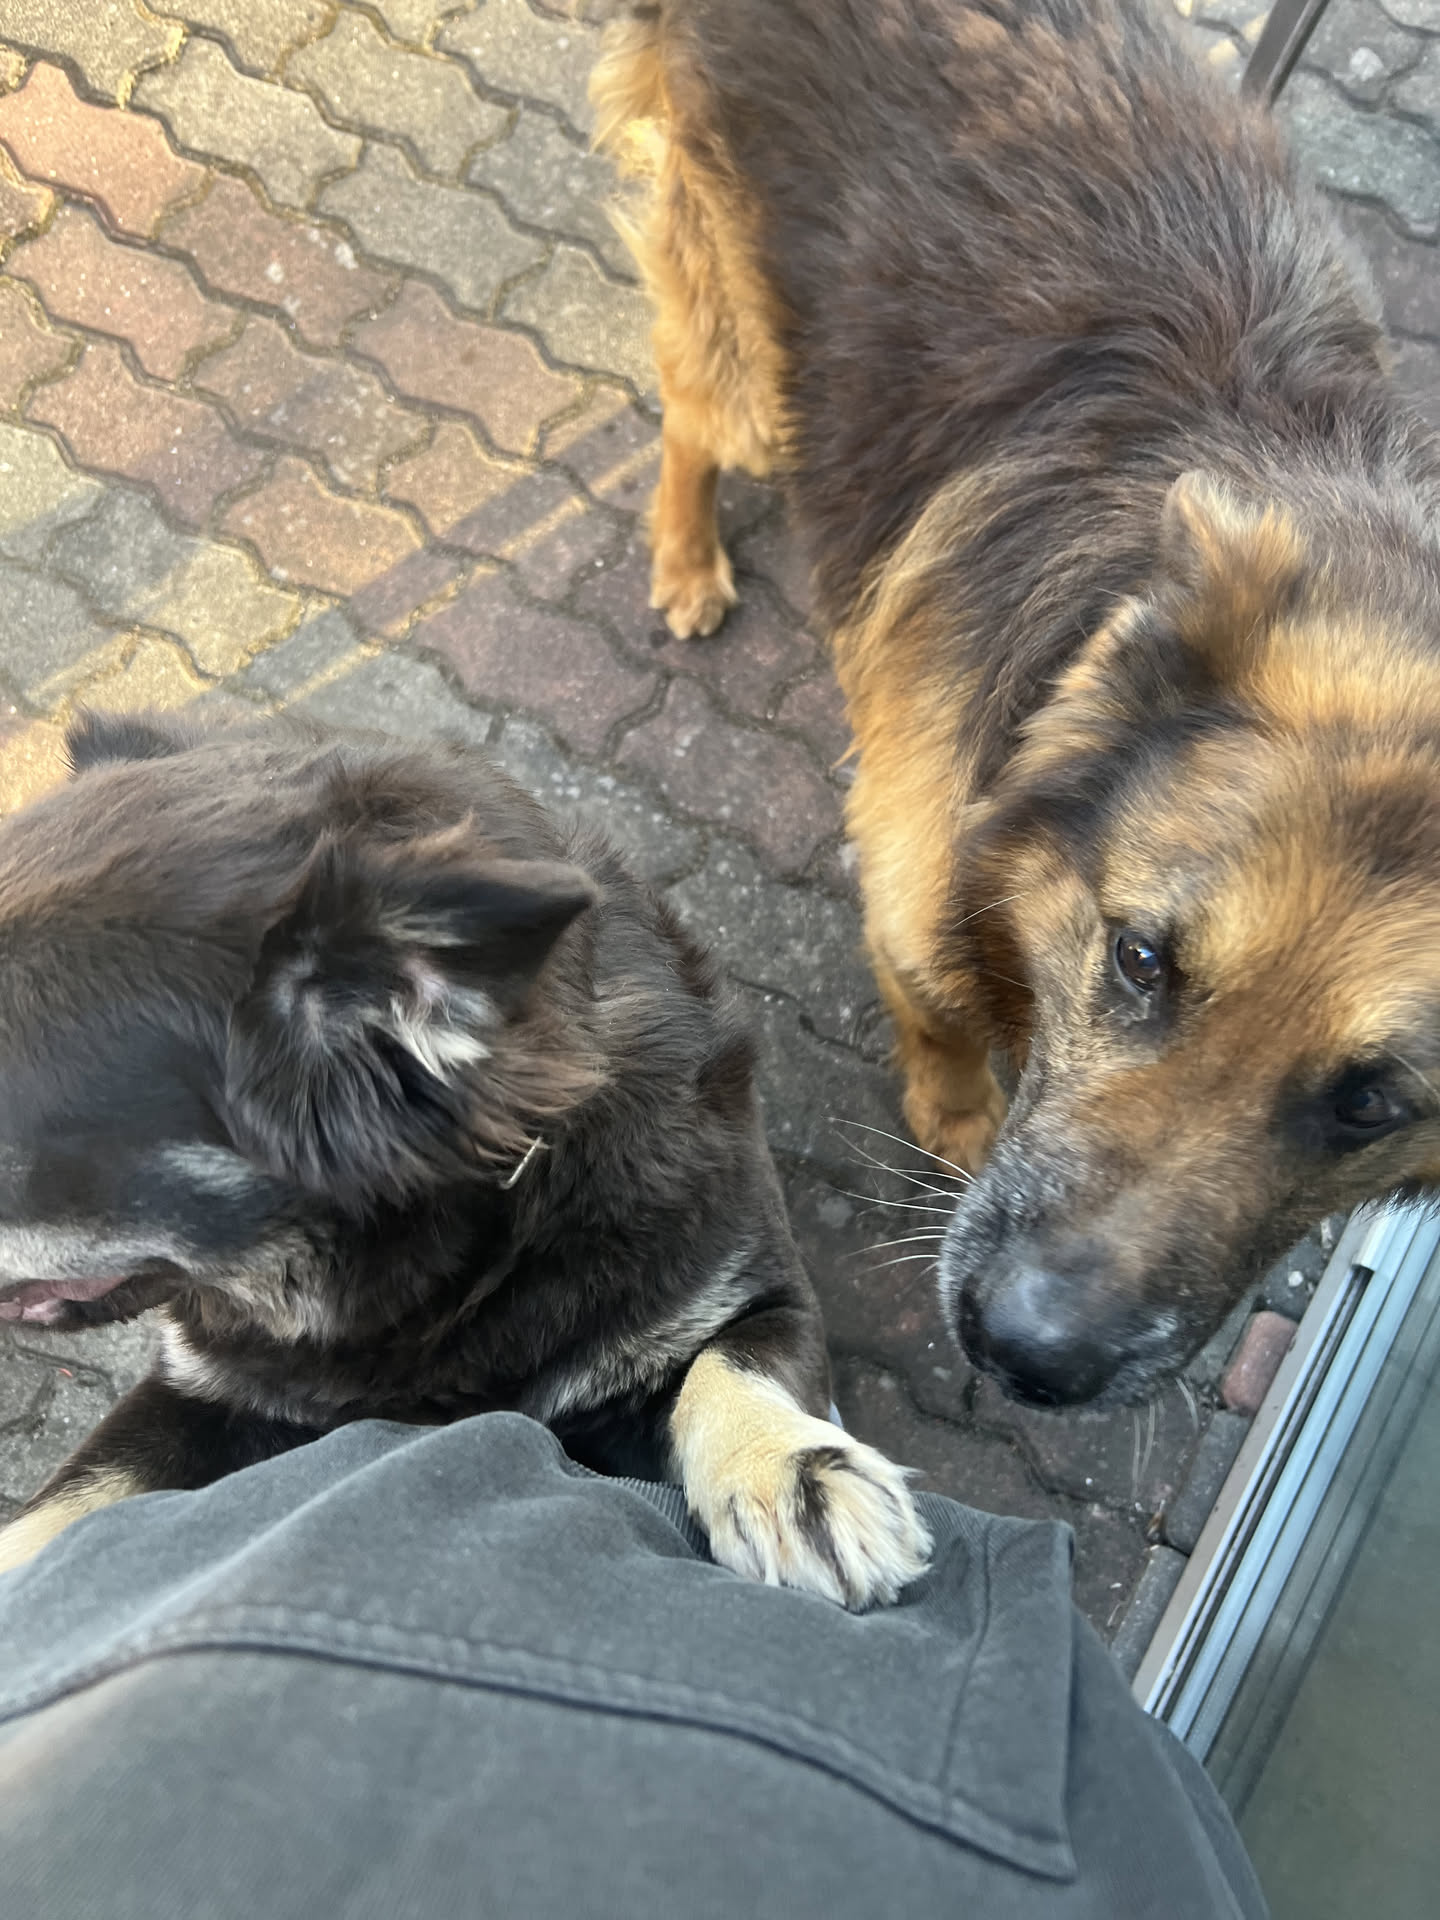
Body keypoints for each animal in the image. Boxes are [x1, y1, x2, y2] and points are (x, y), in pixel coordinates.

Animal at [593, 0, 1440, 1409]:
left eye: (1372, 1105)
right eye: (1141, 961)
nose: (1029, 1353)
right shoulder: (912, 852)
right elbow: (930, 998)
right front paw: (953, 1111)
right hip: (758, 371)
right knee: (689, 420)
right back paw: (686, 561)